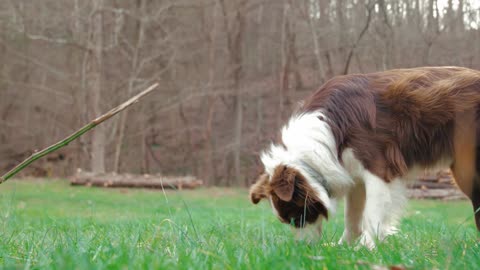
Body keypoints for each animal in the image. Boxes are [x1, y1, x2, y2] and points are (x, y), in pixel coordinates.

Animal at [249, 66, 478, 248]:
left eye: (295, 217)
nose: (303, 249)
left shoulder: (378, 169)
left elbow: (371, 214)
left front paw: (367, 247)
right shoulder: (352, 174)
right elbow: (352, 217)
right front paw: (344, 246)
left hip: (466, 168)